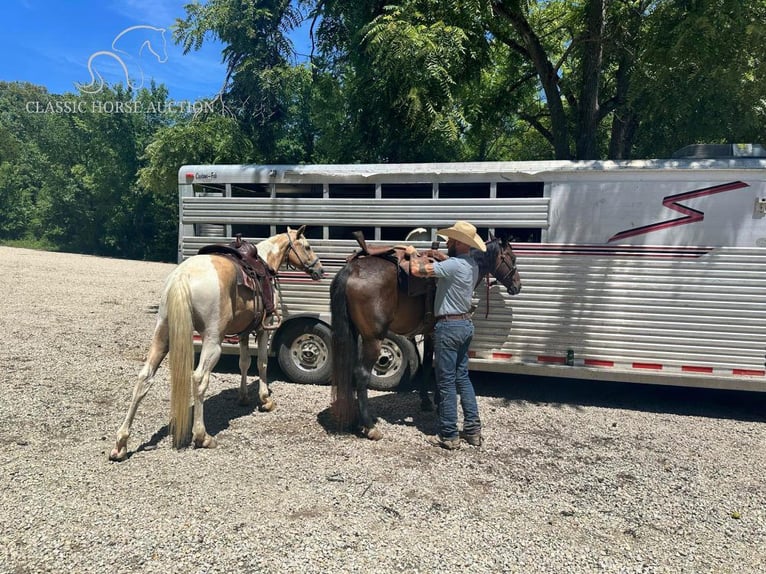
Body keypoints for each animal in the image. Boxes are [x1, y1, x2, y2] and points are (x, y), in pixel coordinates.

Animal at [109, 227, 326, 462]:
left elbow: (243, 362)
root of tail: (182, 276)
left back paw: (121, 443)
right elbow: (261, 363)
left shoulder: (244, 331)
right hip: (213, 342)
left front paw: (243, 397)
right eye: (308, 247)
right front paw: (265, 399)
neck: (266, 260)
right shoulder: (263, 328)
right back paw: (202, 436)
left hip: (163, 333)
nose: (320, 270)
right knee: (199, 379)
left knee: (144, 378)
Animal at [330, 236, 520, 444]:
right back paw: (370, 427)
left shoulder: (428, 333)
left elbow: (428, 363)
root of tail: (351, 270)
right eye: (513, 258)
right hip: (374, 339)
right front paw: (437, 401)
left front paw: (426, 401)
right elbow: (436, 366)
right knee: (362, 374)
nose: (517, 286)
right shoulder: (436, 333)